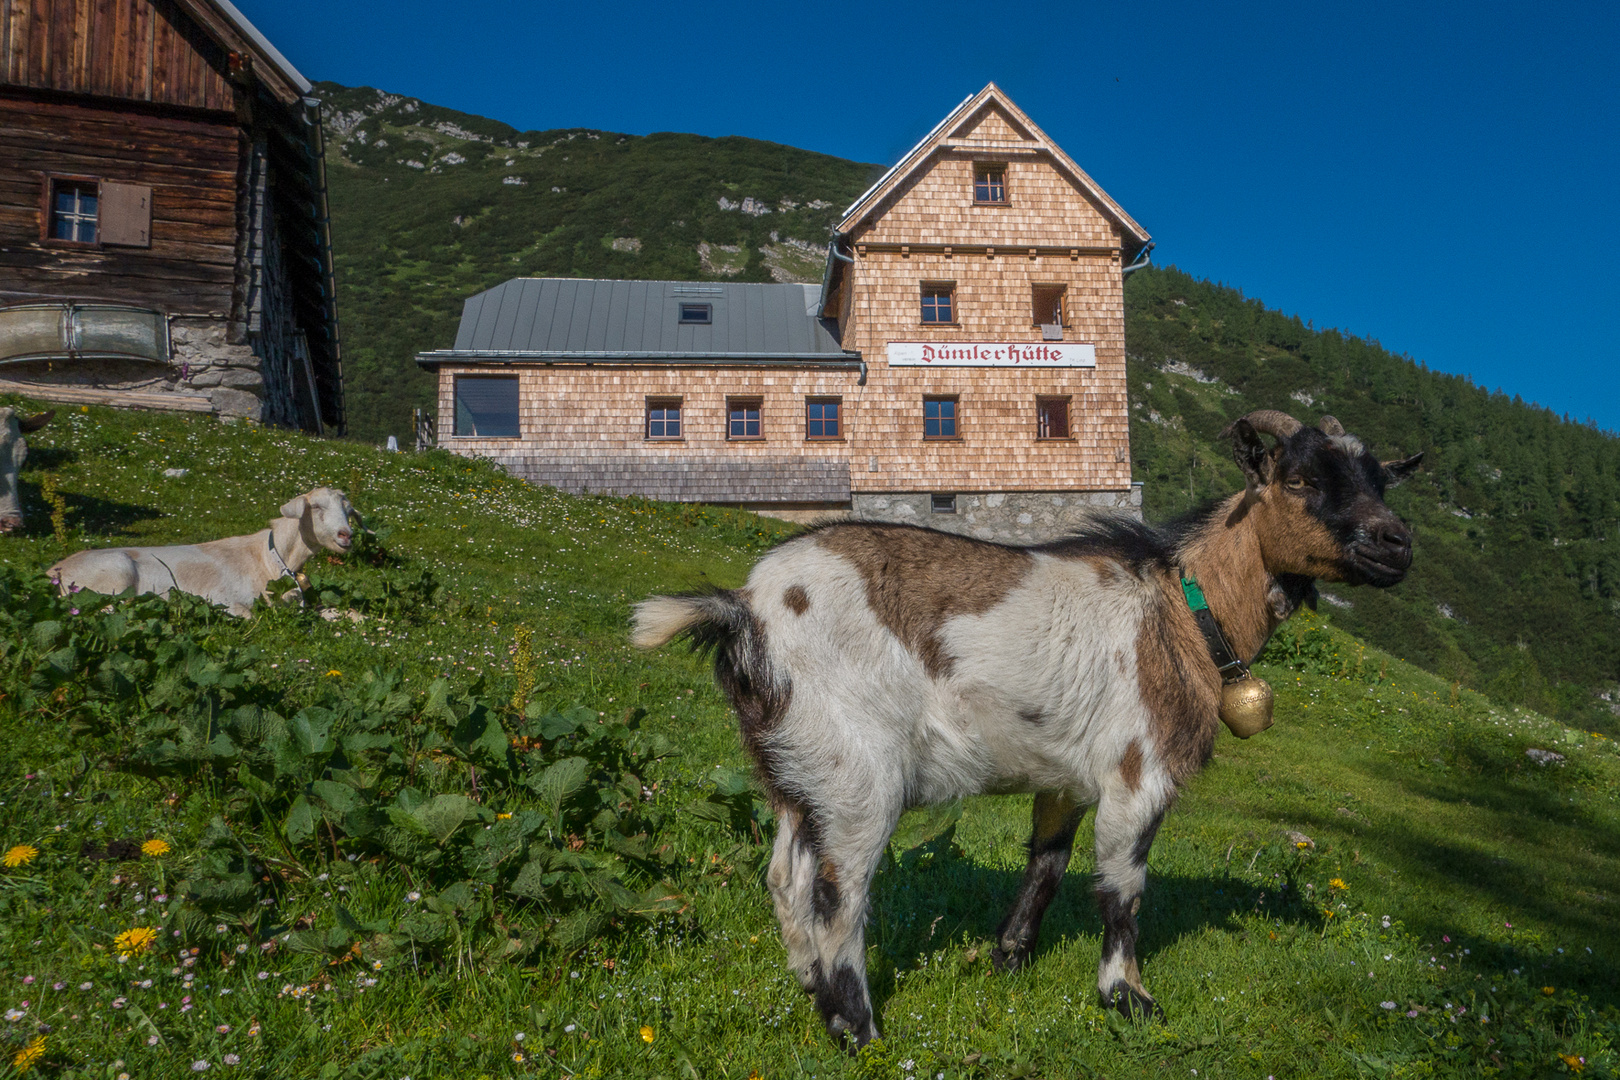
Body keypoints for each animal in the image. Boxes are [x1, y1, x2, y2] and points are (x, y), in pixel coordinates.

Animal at [49, 488, 353, 615]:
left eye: (348, 510)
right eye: (316, 507)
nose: (346, 535)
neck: (270, 559)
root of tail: (53, 571)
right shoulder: (224, 598)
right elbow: (248, 615)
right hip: (112, 578)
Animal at [631, 411, 1419, 1049]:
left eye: (1381, 480)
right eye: (1299, 477)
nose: (1395, 544)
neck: (1182, 608)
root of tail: (747, 610)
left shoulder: (1066, 776)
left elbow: (1047, 864)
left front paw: (1008, 956)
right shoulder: (1138, 771)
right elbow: (1123, 889)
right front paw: (1128, 997)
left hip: (797, 766)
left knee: (785, 876)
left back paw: (812, 988)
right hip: (858, 768)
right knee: (837, 891)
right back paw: (859, 1030)